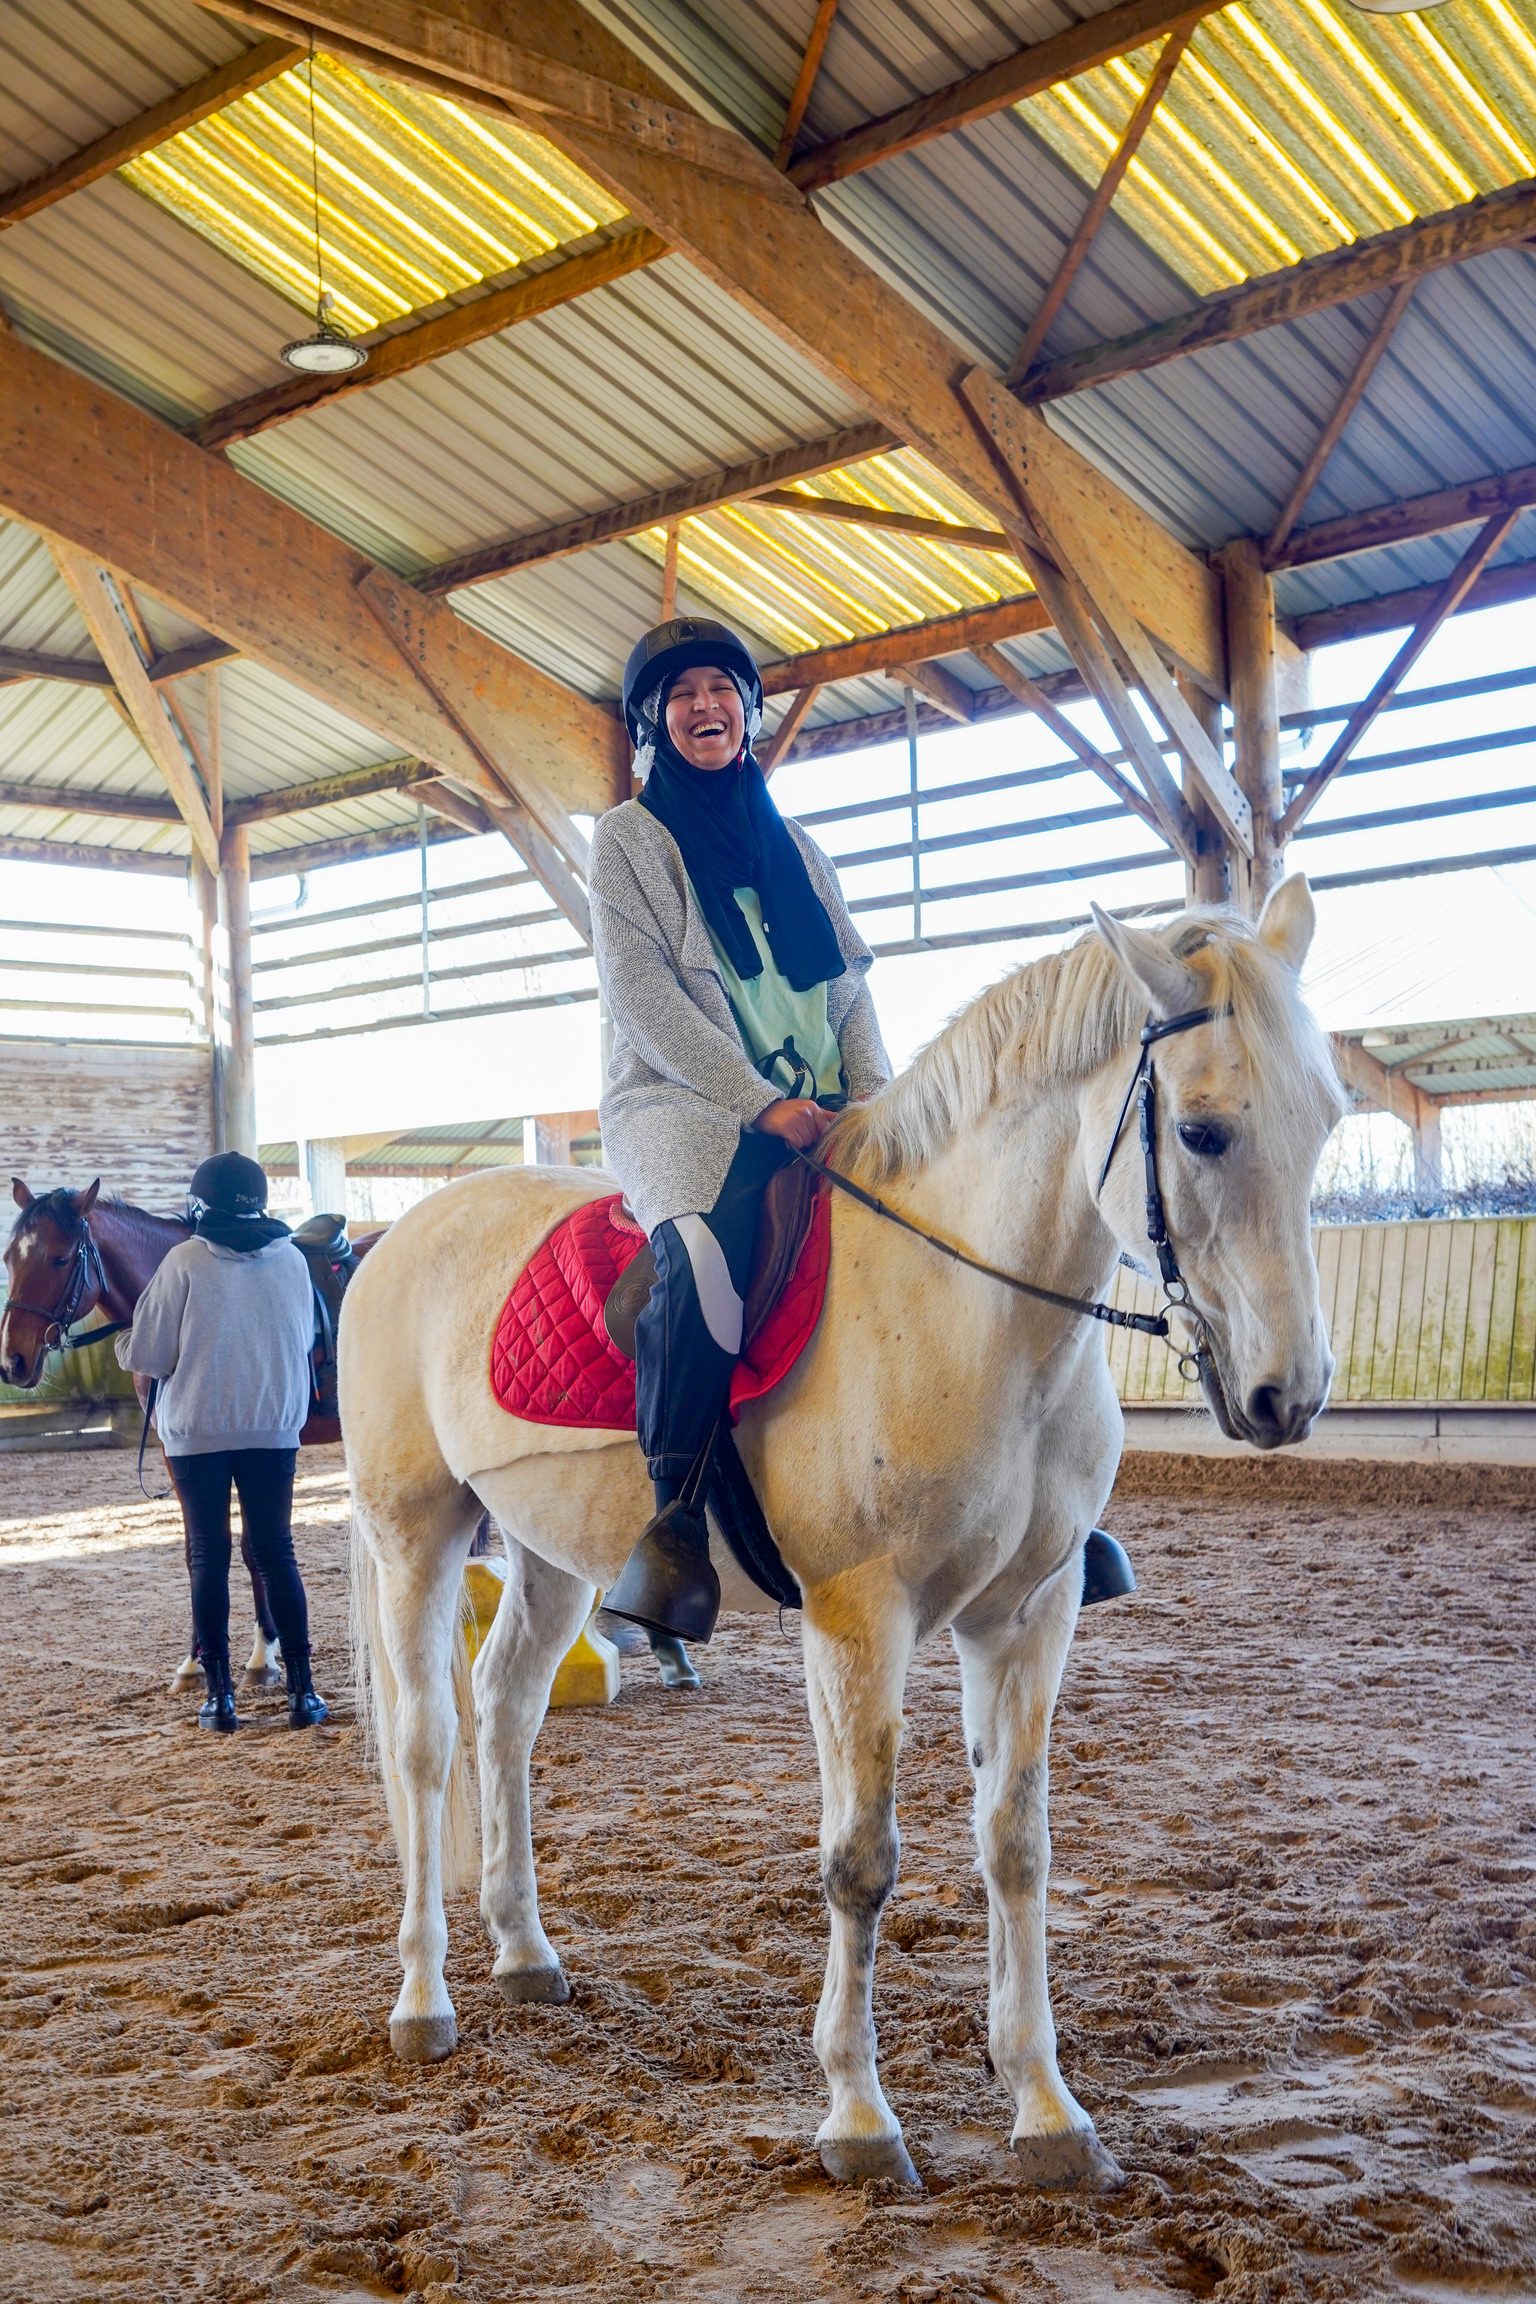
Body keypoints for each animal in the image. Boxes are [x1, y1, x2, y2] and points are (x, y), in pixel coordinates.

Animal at [339, 881, 1343, 2191]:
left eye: (1326, 1123)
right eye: (1207, 1133)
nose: (1289, 1397)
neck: (970, 1311)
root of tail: (392, 1236)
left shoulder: (1027, 1615)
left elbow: (1015, 1843)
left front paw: (1046, 2110)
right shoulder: (860, 1616)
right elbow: (861, 1859)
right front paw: (860, 2120)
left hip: (550, 1553)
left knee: (506, 1710)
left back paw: (523, 1953)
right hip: (416, 1536)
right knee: (427, 1743)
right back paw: (424, 2001)